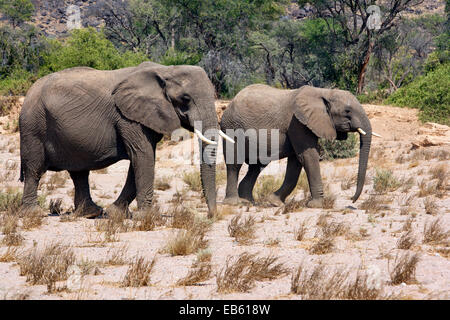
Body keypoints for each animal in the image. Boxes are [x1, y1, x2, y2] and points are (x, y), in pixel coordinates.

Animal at [19, 61, 234, 219]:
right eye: (186, 98)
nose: (211, 216)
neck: (165, 70)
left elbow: (142, 159)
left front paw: (116, 214)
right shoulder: (127, 117)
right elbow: (143, 157)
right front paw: (146, 217)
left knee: (79, 172)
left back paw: (91, 213)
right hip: (33, 125)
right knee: (34, 169)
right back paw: (33, 213)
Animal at [221, 84, 380, 208]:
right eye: (347, 111)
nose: (352, 200)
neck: (324, 92)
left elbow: (296, 162)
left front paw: (275, 202)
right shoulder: (297, 123)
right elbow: (308, 156)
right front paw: (316, 205)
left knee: (256, 167)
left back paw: (248, 201)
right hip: (232, 127)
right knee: (234, 164)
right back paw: (234, 203)